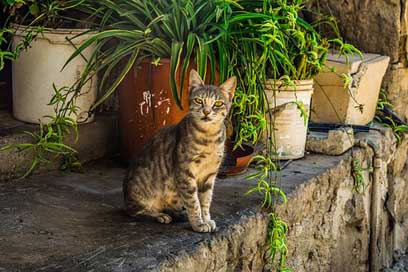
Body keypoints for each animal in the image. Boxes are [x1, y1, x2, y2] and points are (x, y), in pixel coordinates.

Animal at [122, 69, 236, 233]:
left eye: (218, 103)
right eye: (199, 101)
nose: (206, 112)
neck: (209, 138)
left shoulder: (209, 175)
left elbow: (205, 201)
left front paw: (206, 219)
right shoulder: (185, 173)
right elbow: (194, 203)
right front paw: (198, 224)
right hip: (140, 193)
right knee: (135, 211)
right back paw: (160, 215)